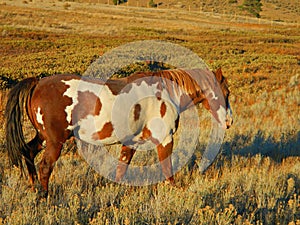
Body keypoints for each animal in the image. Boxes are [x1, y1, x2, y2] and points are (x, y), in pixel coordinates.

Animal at [4, 67, 233, 197]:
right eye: (227, 92)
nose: (229, 121)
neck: (166, 93)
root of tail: (37, 83)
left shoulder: (131, 142)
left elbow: (122, 169)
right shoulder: (165, 139)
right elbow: (168, 169)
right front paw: (176, 191)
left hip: (42, 137)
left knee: (28, 152)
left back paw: (34, 188)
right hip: (54, 141)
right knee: (45, 167)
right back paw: (44, 196)